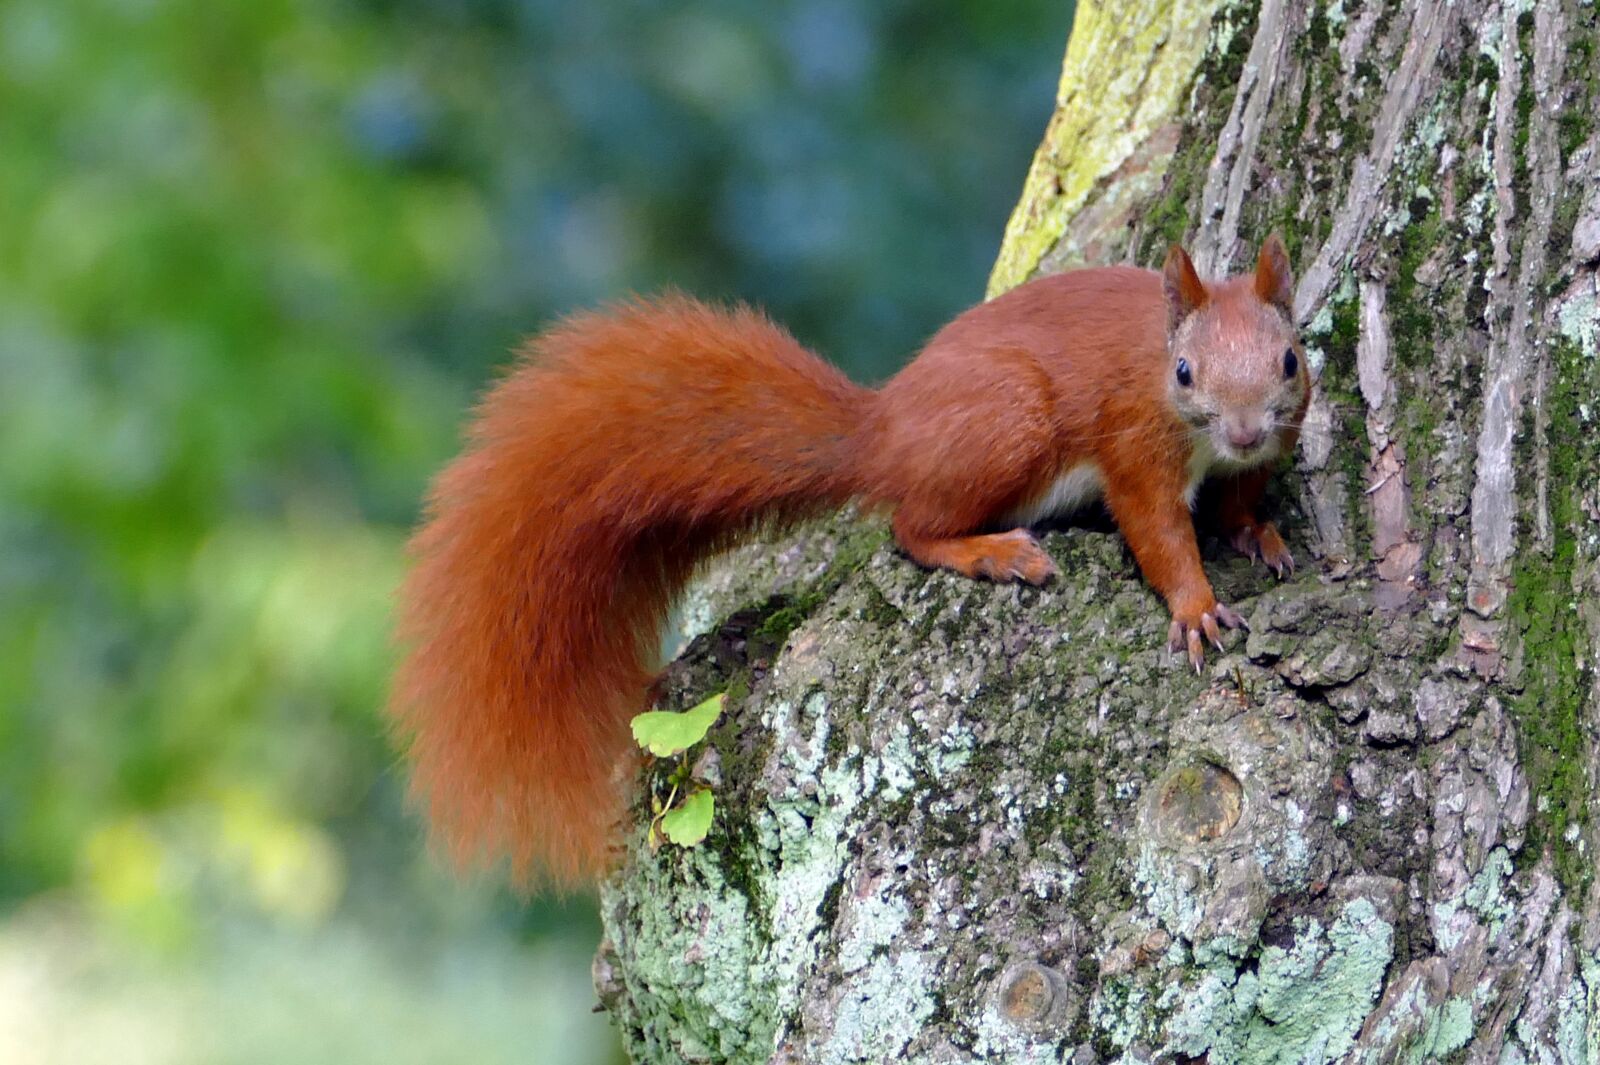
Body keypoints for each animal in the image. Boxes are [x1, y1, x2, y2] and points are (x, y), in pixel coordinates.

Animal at [390, 235, 1310, 887]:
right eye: (1184, 370)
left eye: (1291, 359)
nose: (1240, 429)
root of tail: (883, 431)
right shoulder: (1135, 447)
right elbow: (1156, 530)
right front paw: (1194, 606)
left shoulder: (1265, 446)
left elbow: (1239, 500)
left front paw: (1261, 535)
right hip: (1009, 424)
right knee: (910, 525)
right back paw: (988, 551)